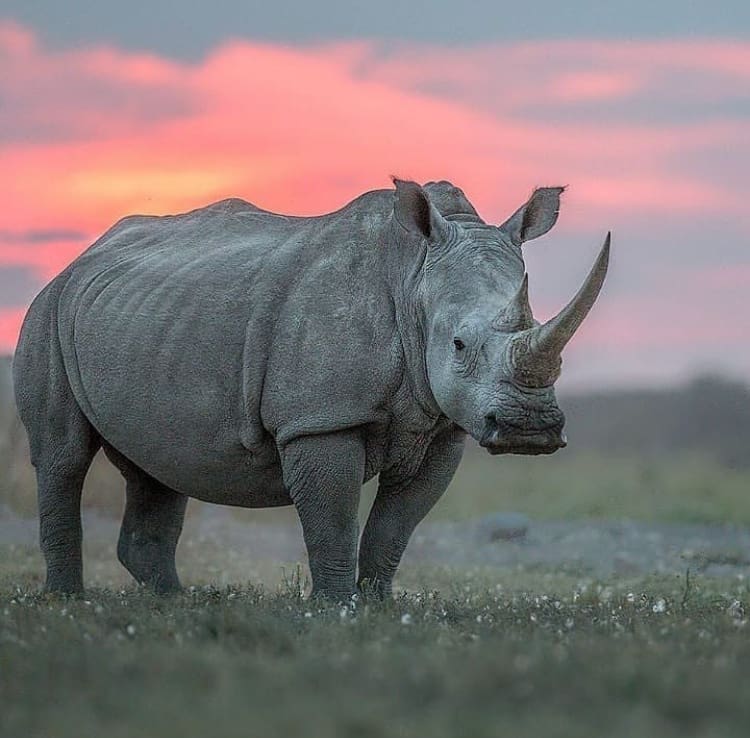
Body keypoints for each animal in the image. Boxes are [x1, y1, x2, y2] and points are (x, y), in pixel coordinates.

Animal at [13, 179, 609, 599]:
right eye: (459, 345)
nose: (528, 429)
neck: (414, 276)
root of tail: (80, 258)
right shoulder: (320, 419)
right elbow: (333, 518)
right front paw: (336, 608)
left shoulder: (443, 428)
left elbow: (396, 525)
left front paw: (377, 607)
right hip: (47, 311)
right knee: (63, 456)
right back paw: (68, 601)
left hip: (143, 319)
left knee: (159, 462)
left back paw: (173, 602)